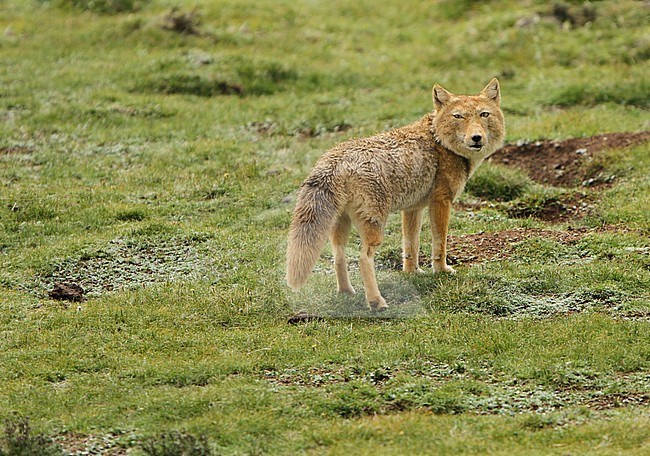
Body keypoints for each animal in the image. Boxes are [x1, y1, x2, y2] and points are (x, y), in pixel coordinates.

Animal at [286, 80, 504, 312]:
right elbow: (440, 243)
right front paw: (442, 271)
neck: (438, 140)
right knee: (363, 258)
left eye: (484, 114)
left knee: (338, 256)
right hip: (374, 228)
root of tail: (336, 158)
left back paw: (346, 292)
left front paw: (412, 272)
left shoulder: (413, 208)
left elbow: (411, 245)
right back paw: (376, 302)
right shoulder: (441, 202)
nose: (476, 138)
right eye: (458, 116)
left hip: (340, 227)